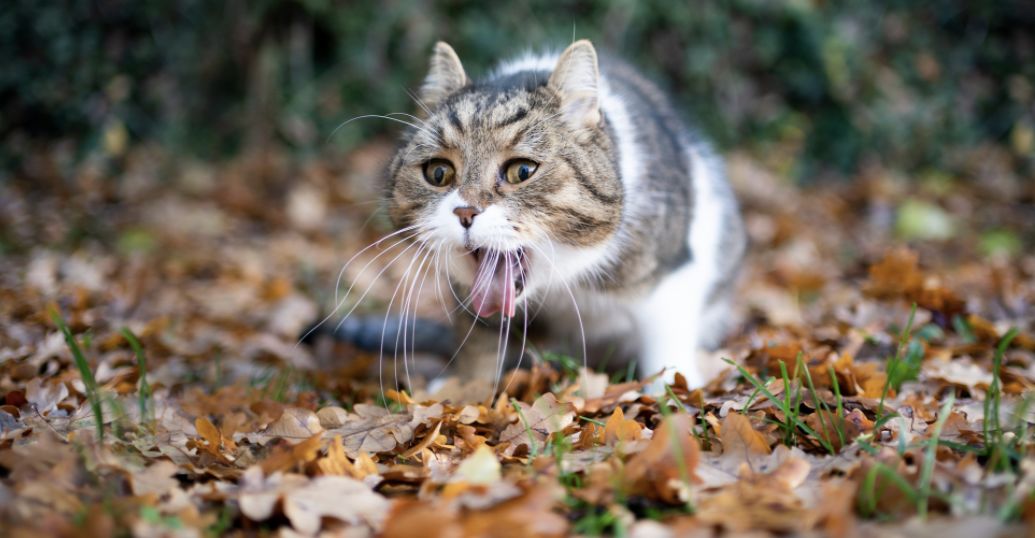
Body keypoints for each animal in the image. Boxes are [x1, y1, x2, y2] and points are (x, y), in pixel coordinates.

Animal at [366, 39, 745, 389]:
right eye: (438, 173)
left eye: (522, 171)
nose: (465, 211)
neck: (562, 281)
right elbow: (479, 341)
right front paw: (466, 389)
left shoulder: (672, 271)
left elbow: (666, 341)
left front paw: (673, 390)